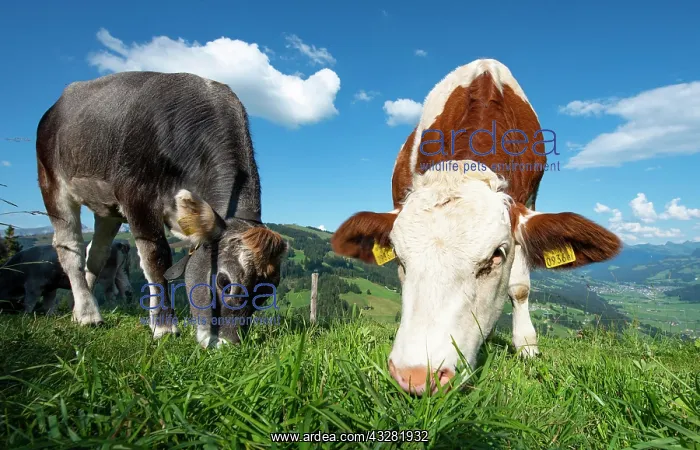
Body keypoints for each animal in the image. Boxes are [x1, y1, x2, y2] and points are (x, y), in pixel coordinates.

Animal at [0, 241, 132, 314]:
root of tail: (119, 243)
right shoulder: (50, 287)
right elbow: (48, 303)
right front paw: (50, 315)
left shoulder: (34, 286)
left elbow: (29, 302)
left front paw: (25, 316)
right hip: (121, 272)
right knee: (126, 289)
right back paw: (127, 307)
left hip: (107, 276)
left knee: (112, 292)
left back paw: (112, 308)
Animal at [36, 71, 287, 348]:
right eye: (224, 281)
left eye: (265, 293)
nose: (227, 345)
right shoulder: (136, 195)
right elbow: (156, 258)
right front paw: (165, 326)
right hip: (52, 180)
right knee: (70, 247)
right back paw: (88, 313)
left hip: (107, 207)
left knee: (96, 253)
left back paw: (81, 309)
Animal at [331, 59, 622, 395]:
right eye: (400, 260)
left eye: (496, 255)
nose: (416, 376)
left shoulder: (529, 202)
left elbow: (519, 287)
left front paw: (526, 345)